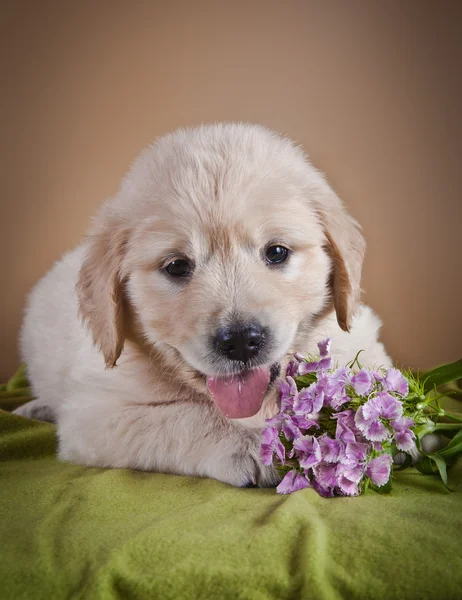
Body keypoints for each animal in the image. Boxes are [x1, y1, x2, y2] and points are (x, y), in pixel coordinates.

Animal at [14, 124, 390, 486]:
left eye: (277, 252)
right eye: (177, 266)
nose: (241, 341)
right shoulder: (94, 414)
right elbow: (182, 416)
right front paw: (257, 443)